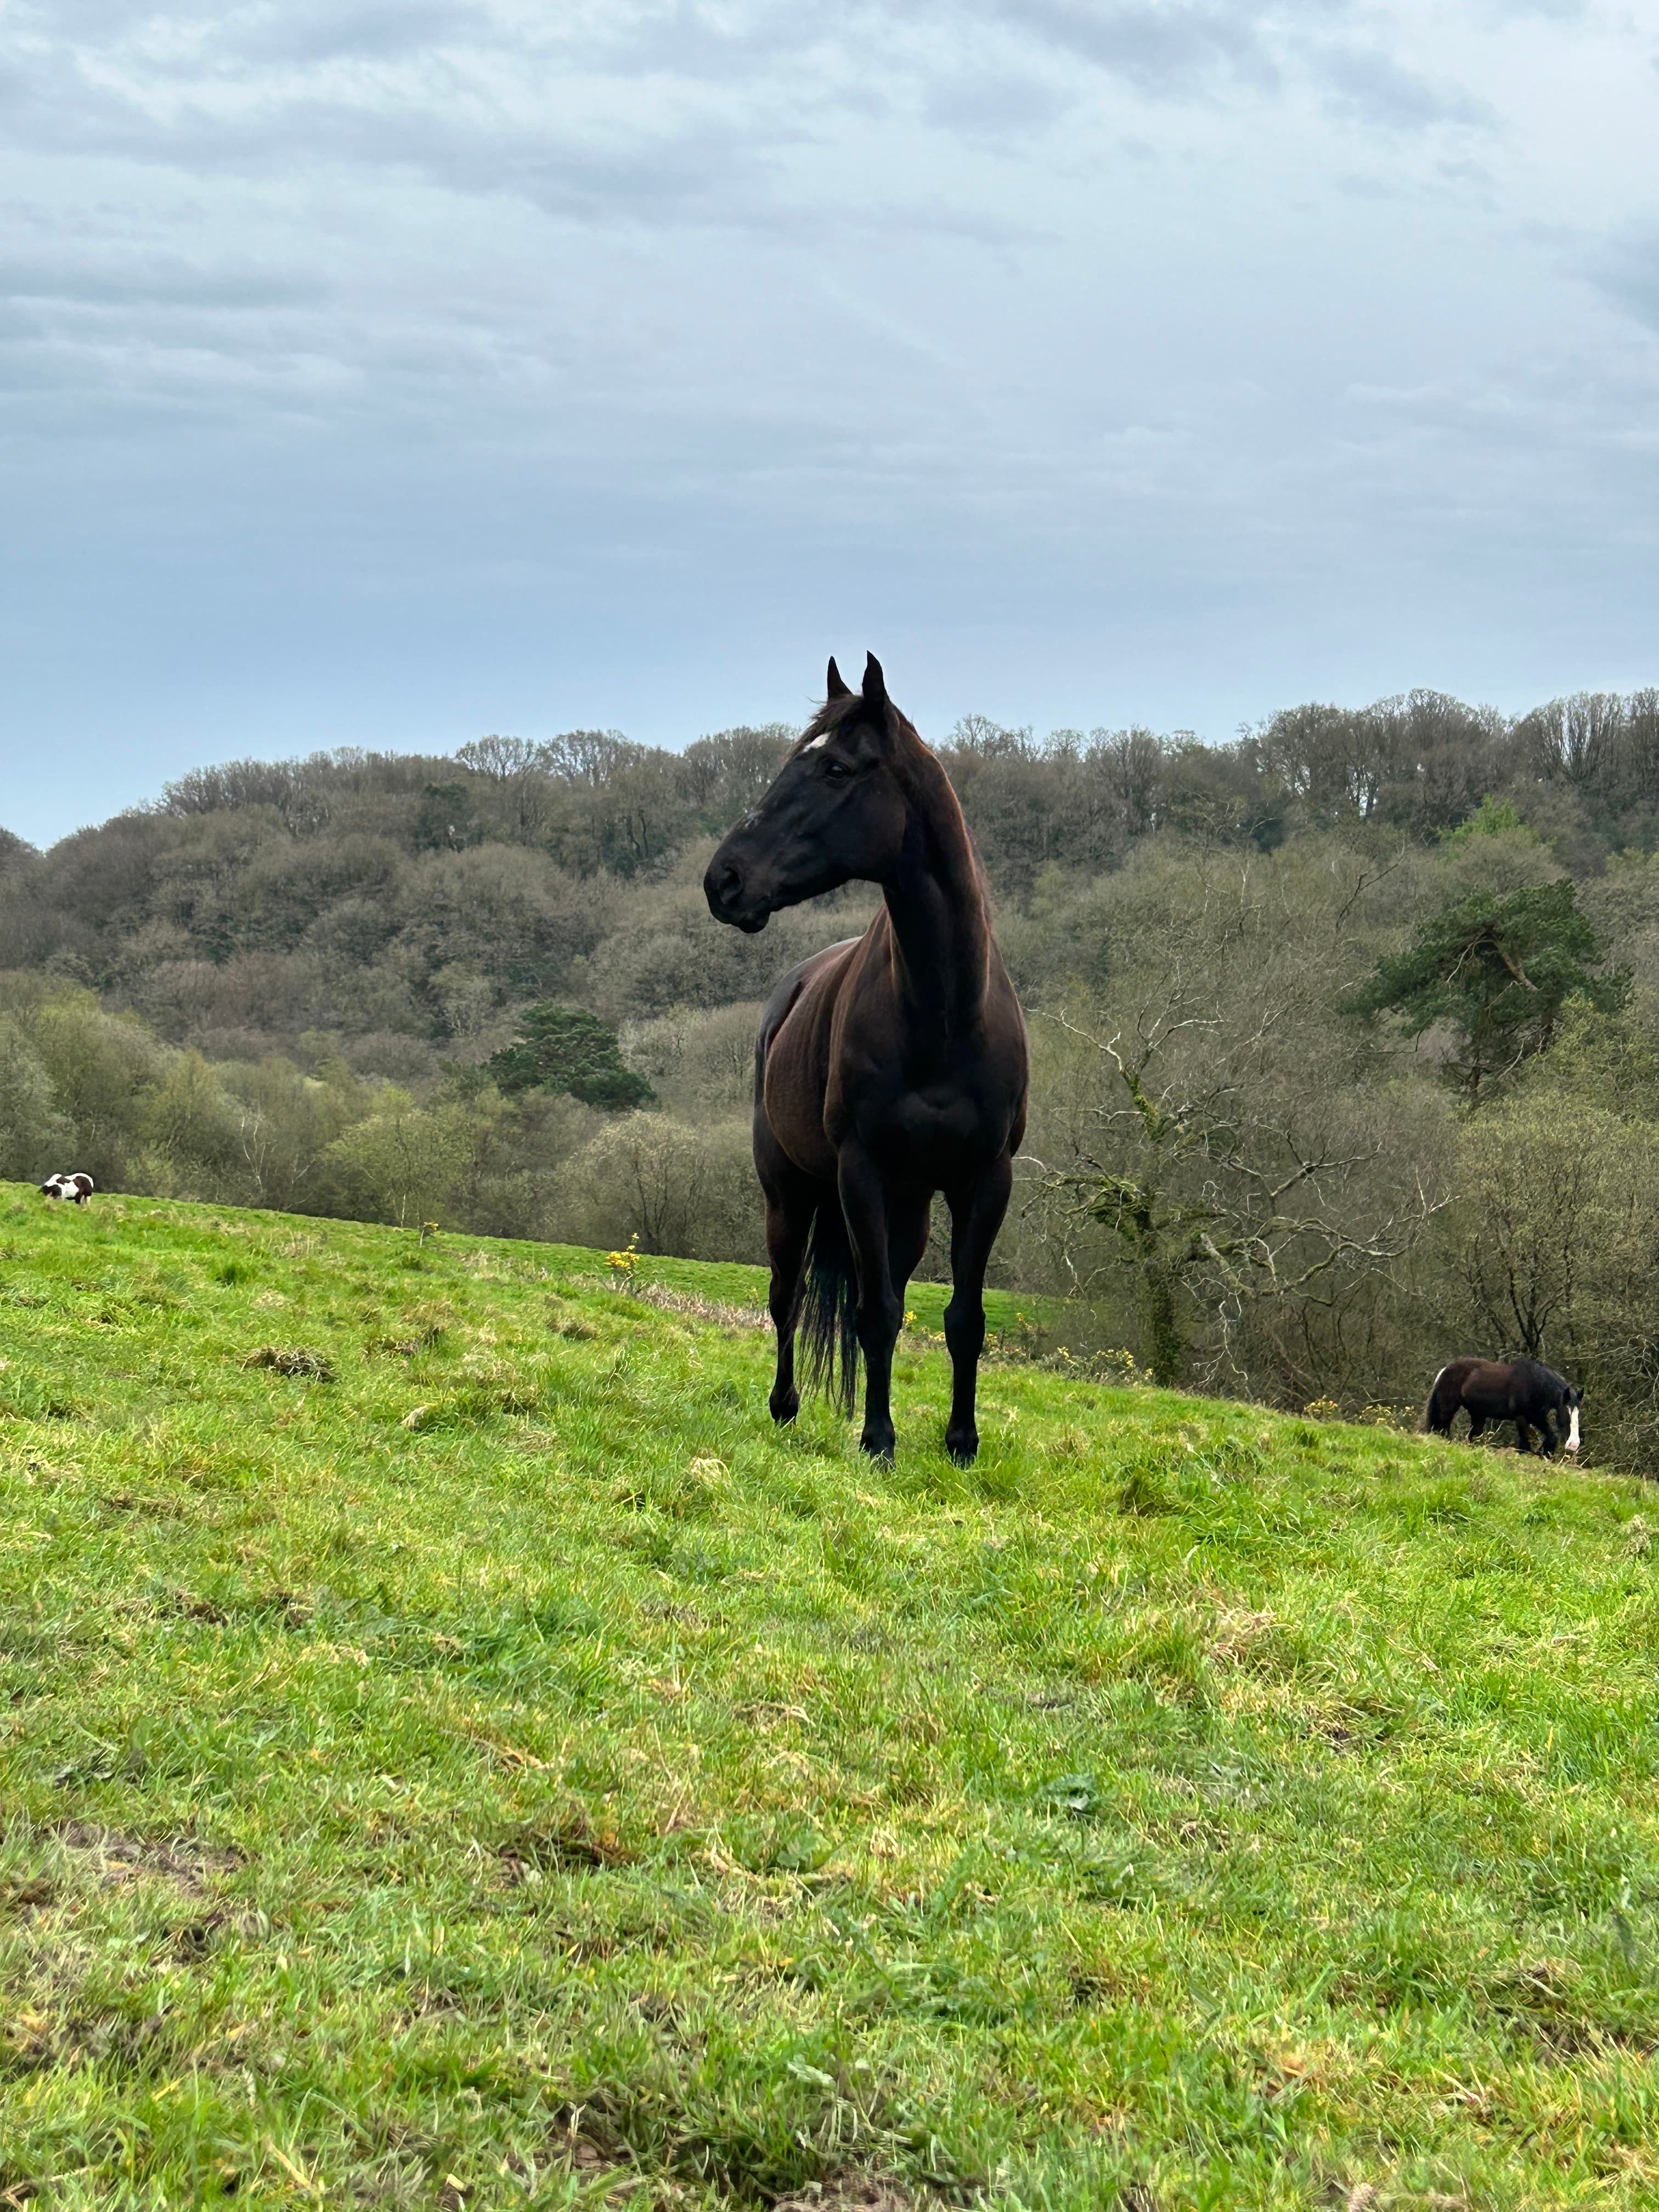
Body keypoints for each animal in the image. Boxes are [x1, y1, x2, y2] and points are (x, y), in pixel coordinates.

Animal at [703, 652, 1029, 1463]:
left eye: (836, 769)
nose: (724, 880)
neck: (944, 1015)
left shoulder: (986, 1179)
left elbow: (962, 1317)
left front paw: (961, 1440)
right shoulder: (862, 1172)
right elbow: (873, 1312)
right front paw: (878, 1439)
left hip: (909, 1209)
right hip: (791, 1196)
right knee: (787, 1298)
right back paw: (786, 1406)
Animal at [1424, 1357, 1582, 1459]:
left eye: (1578, 1413)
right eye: (1566, 1411)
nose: (1574, 1445)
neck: (1536, 1386)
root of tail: (1446, 1369)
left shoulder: (1537, 1418)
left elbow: (1551, 1438)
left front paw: (1544, 1453)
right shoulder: (1522, 1418)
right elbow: (1524, 1446)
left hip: (1478, 1415)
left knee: (1470, 1436)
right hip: (1448, 1408)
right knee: (1441, 1429)